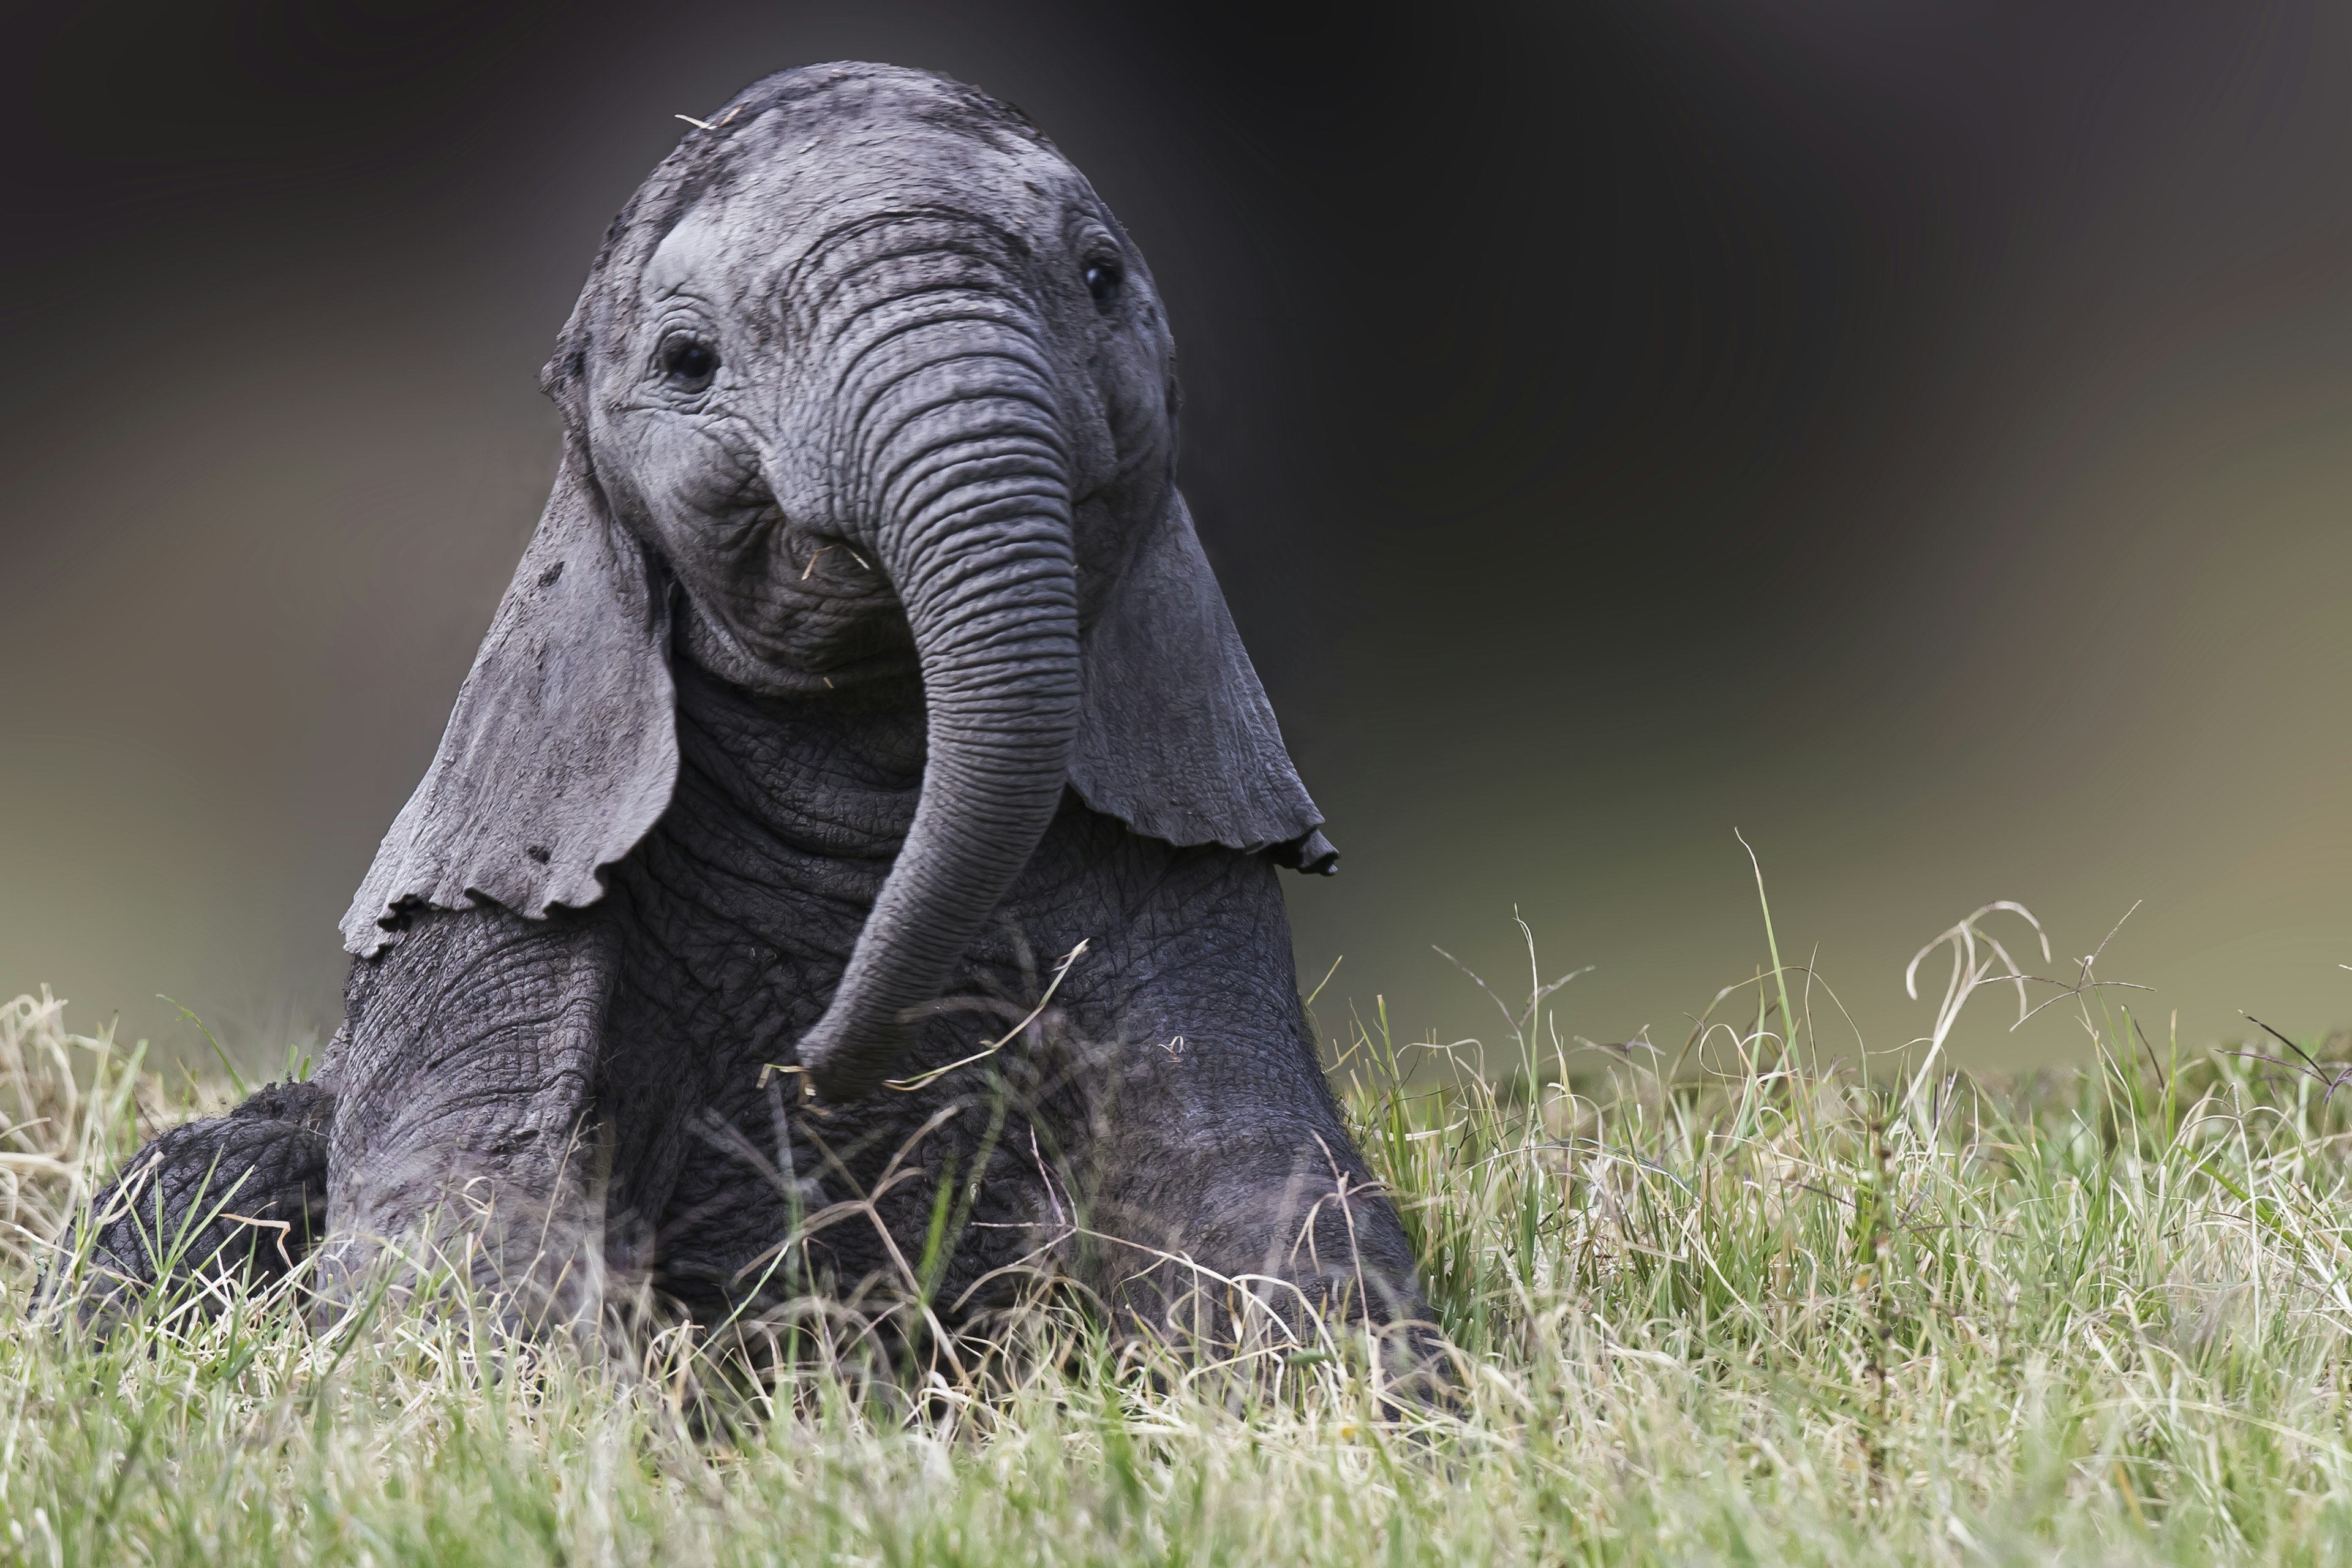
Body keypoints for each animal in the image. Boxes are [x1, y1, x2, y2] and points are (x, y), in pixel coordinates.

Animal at [74, 61, 1420, 1354]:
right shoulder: (479, 904)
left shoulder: (1201, 870)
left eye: (1101, 280)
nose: (819, 1066)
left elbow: (1260, 1189)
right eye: (687, 362)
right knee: (221, 1176)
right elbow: (461, 1208)